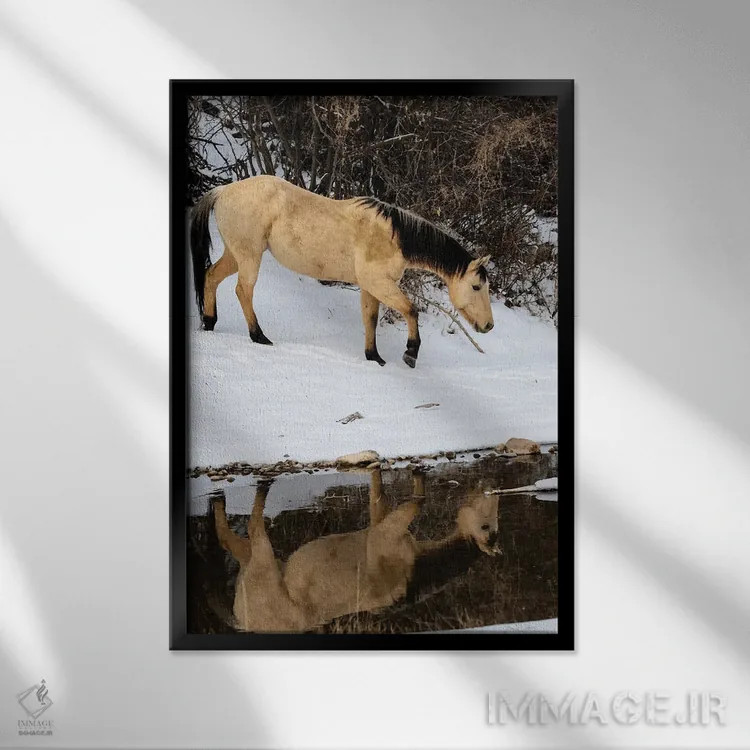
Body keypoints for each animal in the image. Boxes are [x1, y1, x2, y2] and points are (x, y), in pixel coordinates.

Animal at [190, 176, 494, 368]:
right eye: (476, 286)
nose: (489, 326)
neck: (393, 237)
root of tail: (222, 190)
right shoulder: (380, 284)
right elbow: (411, 310)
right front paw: (410, 353)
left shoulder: (370, 287)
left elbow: (370, 319)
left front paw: (374, 358)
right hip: (249, 256)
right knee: (243, 290)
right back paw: (259, 336)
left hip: (235, 255)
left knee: (211, 276)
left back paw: (209, 323)